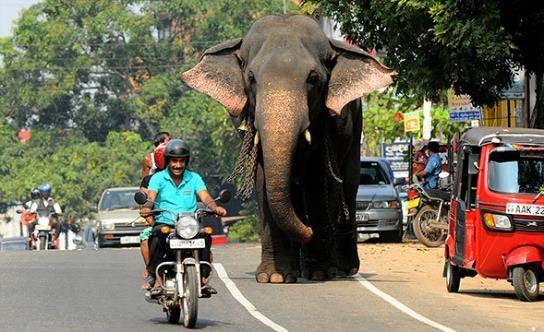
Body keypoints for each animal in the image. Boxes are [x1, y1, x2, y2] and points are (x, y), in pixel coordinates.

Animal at [182, 14, 392, 282]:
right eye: (251, 78)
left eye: (313, 78)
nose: (310, 231)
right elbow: (264, 182)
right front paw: (275, 277)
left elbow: (318, 181)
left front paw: (319, 273)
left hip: (356, 129)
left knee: (347, 183)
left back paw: (342, 269)